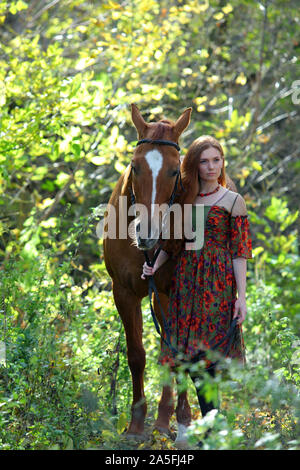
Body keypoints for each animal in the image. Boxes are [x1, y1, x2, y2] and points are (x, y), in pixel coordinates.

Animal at [103, 104, 192, 438]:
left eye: (174, 170)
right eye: (134, 165)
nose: (148, 233)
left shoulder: (168, 294)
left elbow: (171, 355)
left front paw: (165, 420)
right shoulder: (123, 292)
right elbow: (136, 355)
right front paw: (136, 424)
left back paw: (179, 417)